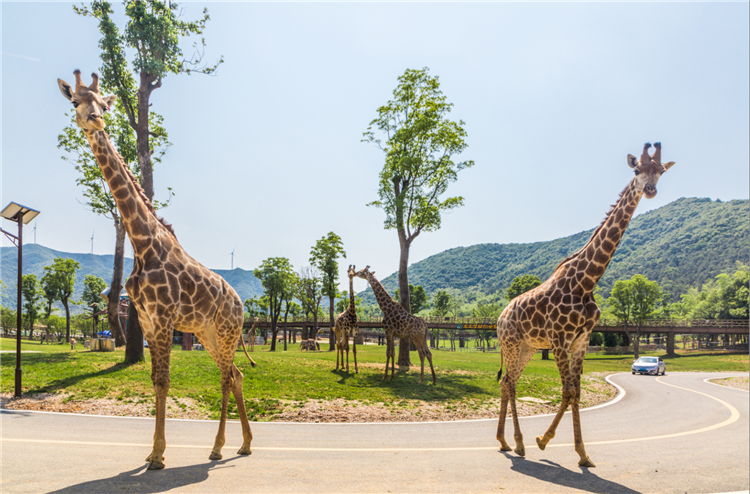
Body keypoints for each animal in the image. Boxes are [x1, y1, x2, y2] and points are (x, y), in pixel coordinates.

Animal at [58, 71, 258, 468]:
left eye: (104, 104)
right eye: (75, 101)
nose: (95, 120)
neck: (142, 245)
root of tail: (241, 303)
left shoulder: (164, 318)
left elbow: (164, 381)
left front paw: (157, 456)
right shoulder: (148, 321)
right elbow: (155, 380)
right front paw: (153, 451)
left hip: (226, 331)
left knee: (227, 377)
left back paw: (218, 447)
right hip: (208, 334)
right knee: (237, 374)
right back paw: (242, 444)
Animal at [496, 143, 680, 466]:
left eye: (661, 171)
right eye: (636, 169)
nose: (650, 189)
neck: (587, 282)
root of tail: (499, 318)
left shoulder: (581, 339)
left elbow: (577, 392)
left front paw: (583, 454)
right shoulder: (560, 339)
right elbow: (568, 391)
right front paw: (542, 440)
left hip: (528, 347)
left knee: (508, 381)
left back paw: (507, 442)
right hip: (512, 343)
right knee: (510, 383)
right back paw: (517, 442)